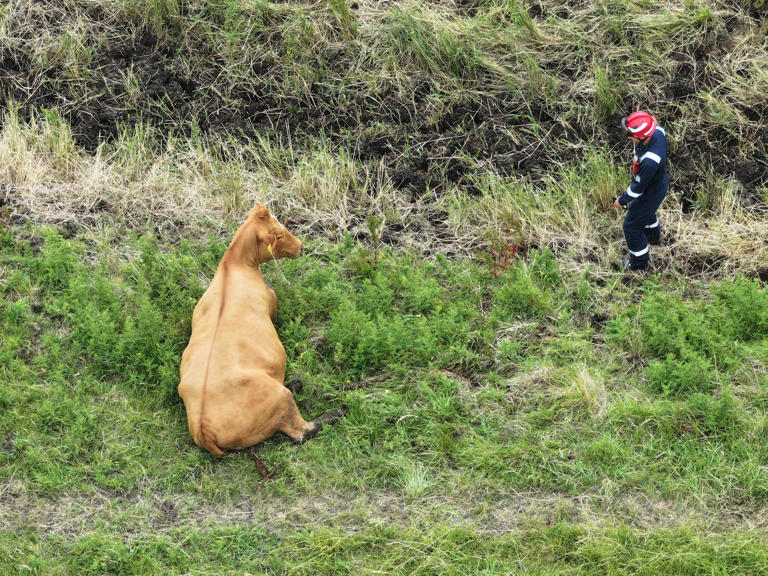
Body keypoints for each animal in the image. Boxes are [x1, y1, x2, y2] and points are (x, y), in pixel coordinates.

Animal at [178, 203, 342, 457]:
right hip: (280, 400)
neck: (232, 265)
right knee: (301, 432)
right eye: (280, 234)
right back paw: (331, 412)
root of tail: (204, 429)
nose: (301, 246)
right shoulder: (272, 301)